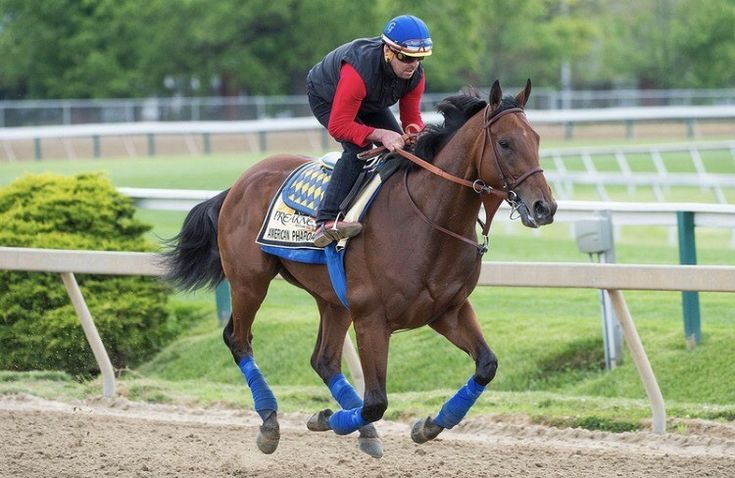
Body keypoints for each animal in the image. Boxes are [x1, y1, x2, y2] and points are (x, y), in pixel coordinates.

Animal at [165, 80, 556, 458]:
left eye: (536, 139)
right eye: (505, 143)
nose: (545, 207)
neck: (426, 220)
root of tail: (239, 183)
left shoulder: (447, 310)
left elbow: (486, 365)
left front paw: (428, 425)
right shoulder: (371, 319)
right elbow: (376, 402)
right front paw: (328, 418)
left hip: (332, 299)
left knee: (324, 360)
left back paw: (360, 430)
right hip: (249, 281)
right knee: (239, 339)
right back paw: (270, 421)